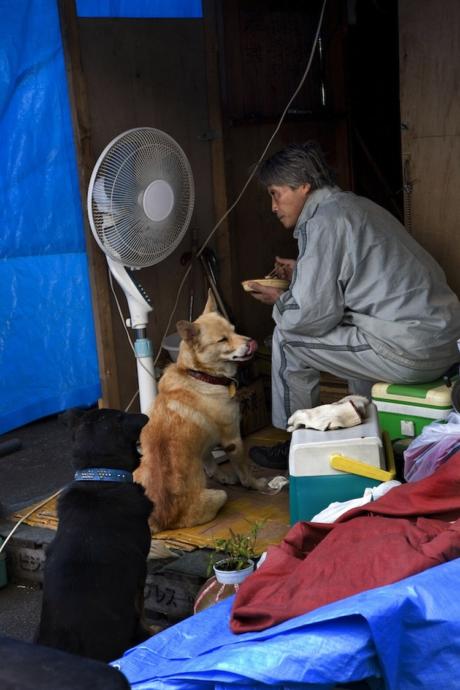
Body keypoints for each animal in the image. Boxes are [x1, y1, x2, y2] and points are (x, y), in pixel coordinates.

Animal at [134, 288, 266, 528]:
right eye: (222, 339)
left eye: (234, 329)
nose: (251, 341)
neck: (200, 375)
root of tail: (161, 519)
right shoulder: (233, 439)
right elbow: (244, 471)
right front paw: (257, 484)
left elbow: (209, 459)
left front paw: (220, 475)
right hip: (219, 496)